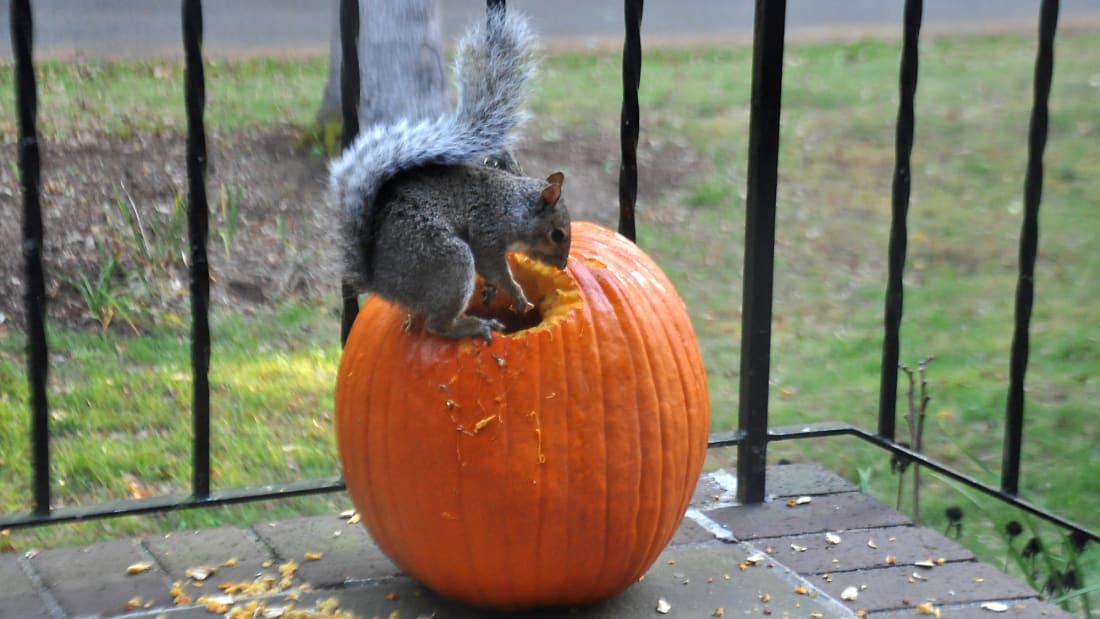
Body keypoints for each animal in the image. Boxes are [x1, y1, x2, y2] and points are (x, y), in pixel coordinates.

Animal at [327, 6, 572, 343]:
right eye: (556, 234)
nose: (562, 265)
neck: (514, 205)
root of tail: (380, 280)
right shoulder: (488, 235)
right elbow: (494, 268)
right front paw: (518, 295)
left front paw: (495, 292)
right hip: (449, 262)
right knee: (437, 324)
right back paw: (472, 326)